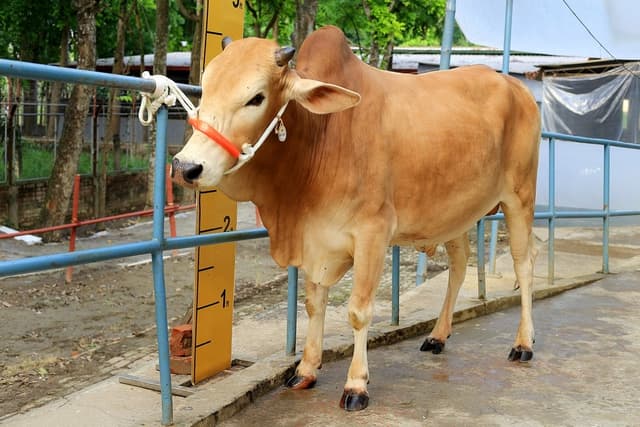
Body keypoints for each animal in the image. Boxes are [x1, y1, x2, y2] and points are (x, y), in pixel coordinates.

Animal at [171, 26, 541, 411]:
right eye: (206, 85)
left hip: (519, 198)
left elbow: (358, 311)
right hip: (454, 212)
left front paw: (356, 384)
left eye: (256, 97)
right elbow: (313, 304)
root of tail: (516, 88)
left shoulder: (372, 234)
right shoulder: (314, 239)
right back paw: (438, 336)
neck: (322, 138)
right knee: (459, 264)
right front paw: (306, 369)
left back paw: (523, 344)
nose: (186, 167)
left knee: (524, 263)